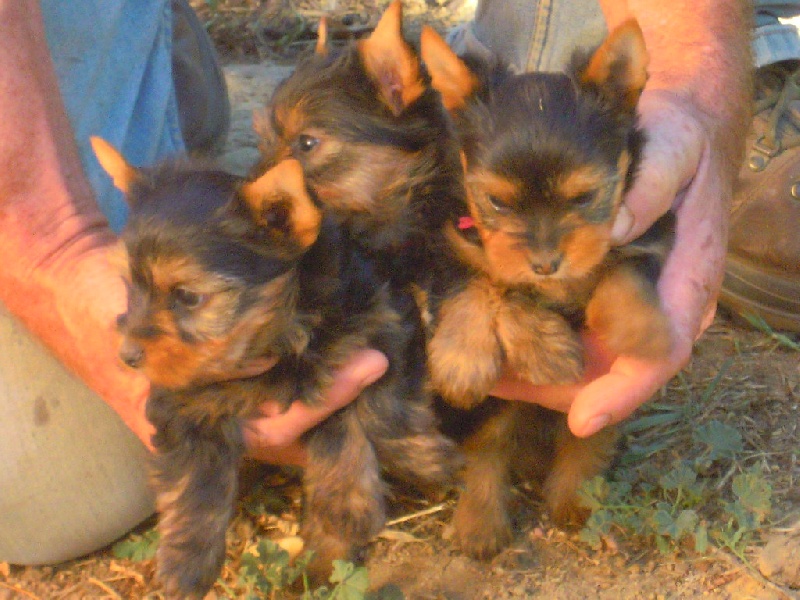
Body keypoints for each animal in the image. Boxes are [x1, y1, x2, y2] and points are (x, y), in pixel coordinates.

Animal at [90, 139, 456, 596]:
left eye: (188, 297)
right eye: (130, 286)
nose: (128, 356)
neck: (279, 339)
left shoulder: (385, 317)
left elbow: (383, 408)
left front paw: (419, 462)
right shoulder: (183, 402)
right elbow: (195, 476)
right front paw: (186, 562)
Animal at [418, 22, 676, 556]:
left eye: (585, 196)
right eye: (496, 201)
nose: (544, 264)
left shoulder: (650, 231)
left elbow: (623, 271)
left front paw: (642, 331)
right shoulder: (448, 241)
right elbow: (481, 284)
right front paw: (472, 356)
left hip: (596, 415)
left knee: (588, 439)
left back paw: (576, 500)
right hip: (489, 413)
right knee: (486, 447)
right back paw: (480, 522)